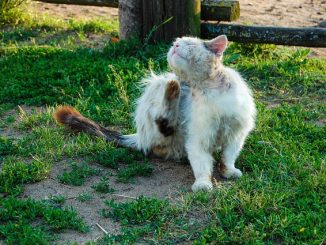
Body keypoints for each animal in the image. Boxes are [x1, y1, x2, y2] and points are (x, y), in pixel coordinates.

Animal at [54, 34, 256, 191]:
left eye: (189, 44)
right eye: (176, 42)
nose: (175, 45)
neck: (207, 89)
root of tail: (139, 136)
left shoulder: (237, 134)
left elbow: (228, 156)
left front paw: (229, 171)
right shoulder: (198, 138)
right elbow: (201, 164)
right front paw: (203, 184)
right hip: (158, 86)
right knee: (162, 123)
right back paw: (172, 90)